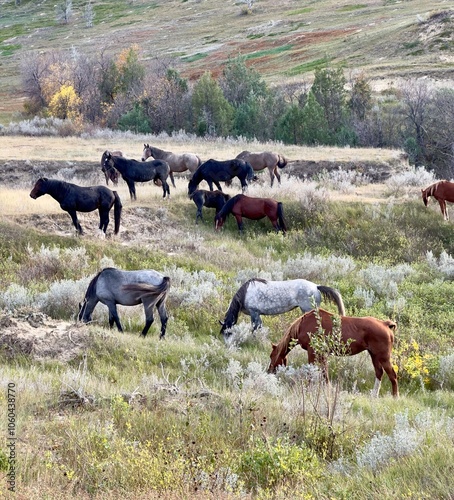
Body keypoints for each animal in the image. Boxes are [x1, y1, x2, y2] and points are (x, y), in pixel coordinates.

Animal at [268, 308, 400, 398]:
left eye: (271, 356)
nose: (269, 371)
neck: (302, 325)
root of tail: (386, 324)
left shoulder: (312, 352)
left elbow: (312, 372)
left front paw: (308, 390)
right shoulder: (322, 354)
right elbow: (324, 373)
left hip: (383, 357)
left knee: (392, 375)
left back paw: (395, 397)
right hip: (374, 355)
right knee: (379, 373)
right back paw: (374, 395)